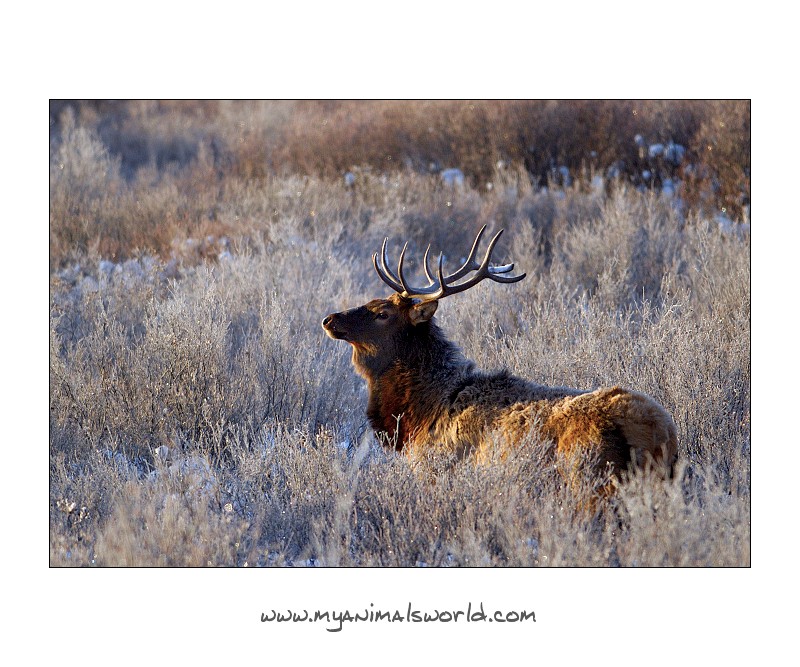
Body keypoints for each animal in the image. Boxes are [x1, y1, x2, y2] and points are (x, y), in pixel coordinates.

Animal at [322, 227, 680, 494]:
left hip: (587, 478)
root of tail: (659, 432)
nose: (330, 319)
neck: (421, 415)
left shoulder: (434, 468)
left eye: (383, 313)